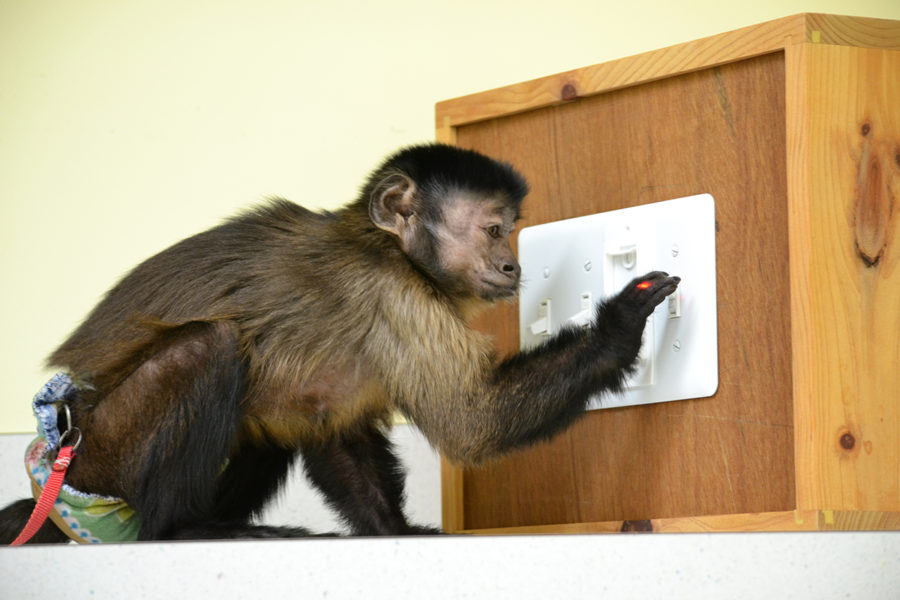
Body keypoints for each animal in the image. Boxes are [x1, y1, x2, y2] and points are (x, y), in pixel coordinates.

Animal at [0, 143, 679, 543]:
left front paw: (395, 530)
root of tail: (51, 447)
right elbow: (473, 423)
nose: (512, 265)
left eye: (512, 231)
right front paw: (619, 325)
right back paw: (182, 530)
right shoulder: (396, 295)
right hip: (101, 454)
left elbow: (329, 424)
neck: (389, 248)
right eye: (493, 230)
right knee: (210, 348)